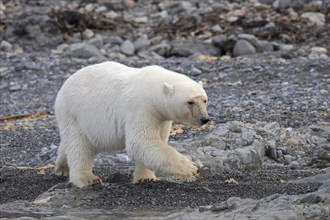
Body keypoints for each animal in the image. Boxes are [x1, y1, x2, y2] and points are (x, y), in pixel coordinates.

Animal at [54, 61, 209, 186]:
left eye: (204, 100)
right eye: (190, 102)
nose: (204, 119)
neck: (154, 89)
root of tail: (62, 89)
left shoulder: (161, 117)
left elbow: (154, 142)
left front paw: (146, 177)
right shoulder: (141, 107)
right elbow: (141, 141)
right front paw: (190, 168)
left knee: (69, 143)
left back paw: (62, 167)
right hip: (75, 115)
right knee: (79, 146)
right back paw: (87, 178)